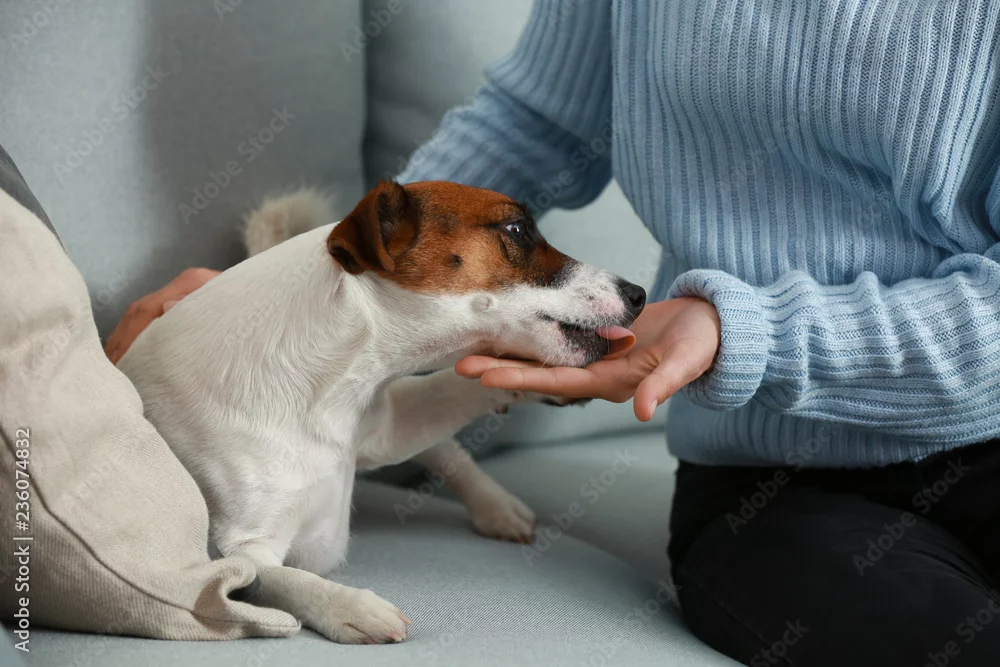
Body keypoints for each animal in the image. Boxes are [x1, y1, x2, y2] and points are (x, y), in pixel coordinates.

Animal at [117, 181, 646, 643]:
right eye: (517, 230)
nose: (639, 294)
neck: (331, 390)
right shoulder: (240, 549)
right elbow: (284, 579)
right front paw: (350, 605)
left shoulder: (385, 427)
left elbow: (456, 386)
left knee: (447, 446)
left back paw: (496, 502)